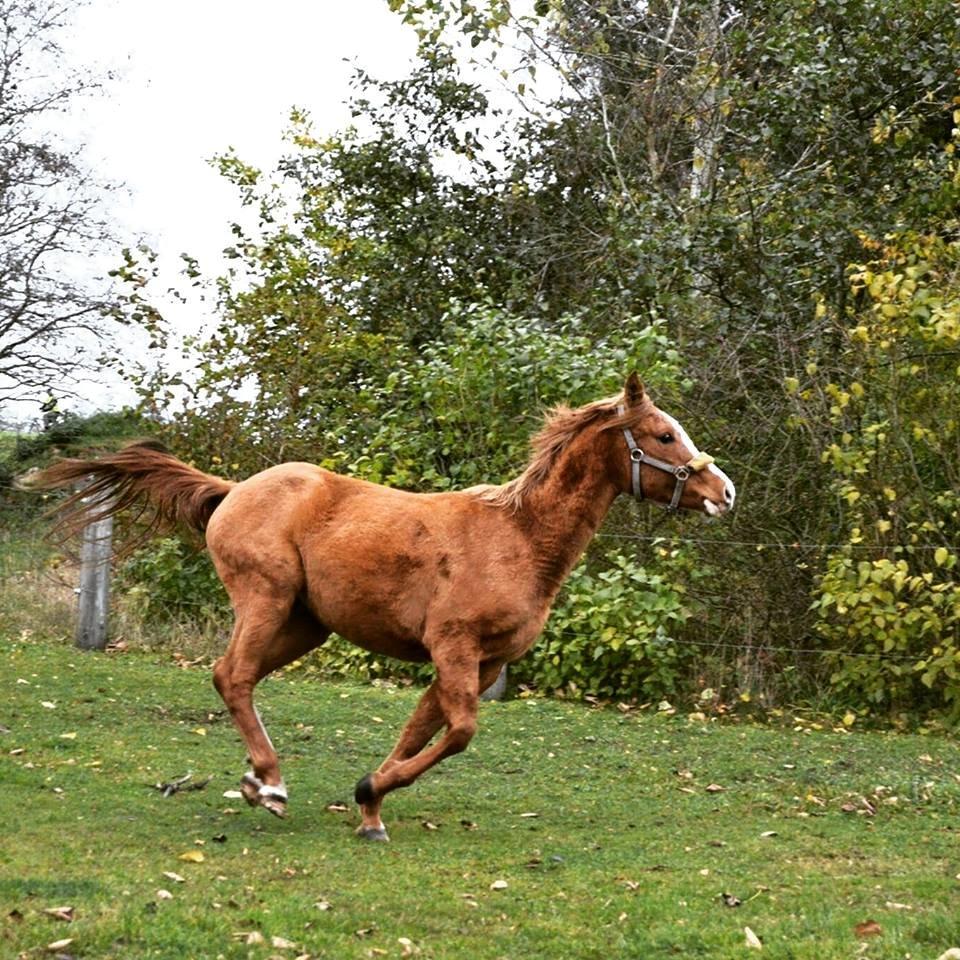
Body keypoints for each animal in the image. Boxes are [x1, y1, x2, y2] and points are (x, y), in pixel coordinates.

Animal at [30, 376, 736, 840]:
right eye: (663, 434)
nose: (724, 492)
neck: (516, 538)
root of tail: (232, 490)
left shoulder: (478, 662)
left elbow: (421, 730)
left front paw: (370, 807)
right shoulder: (453, 647)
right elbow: (460, 732)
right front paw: (370, 795)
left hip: (305, 626)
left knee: (240, 679)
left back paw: (259, 781)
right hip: (265, 598)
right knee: (232, 675)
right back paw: (271, 785)